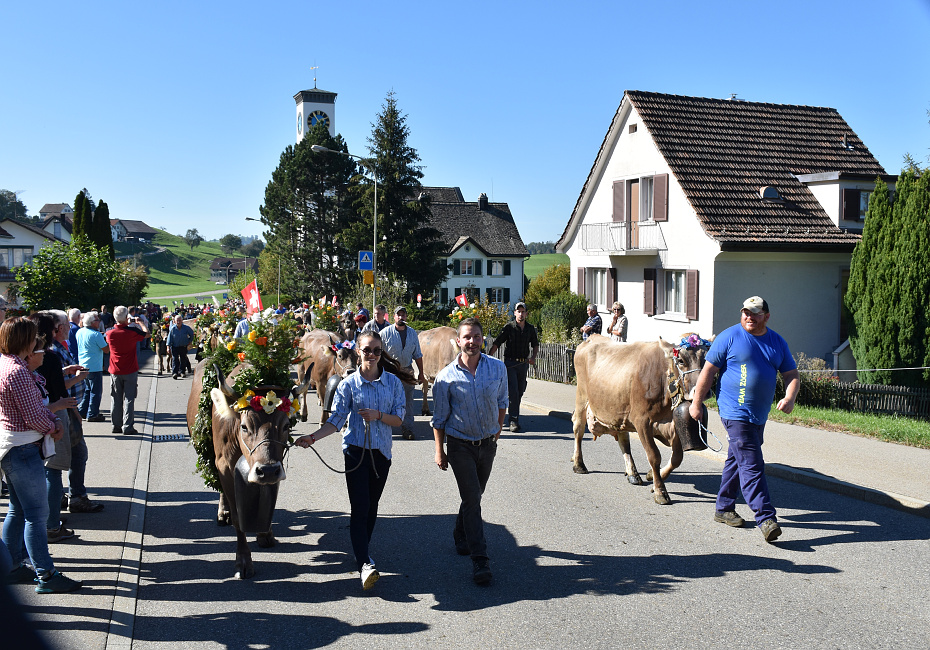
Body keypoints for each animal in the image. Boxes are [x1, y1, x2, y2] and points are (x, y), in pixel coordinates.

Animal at [564, 332, 712, 504]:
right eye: (681, 360)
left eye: (707, 359)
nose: (703, 391)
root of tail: (592, 337)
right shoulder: (642, 421)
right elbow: (654, 456)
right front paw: (660, 491)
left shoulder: (673, 424)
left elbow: (677, 458)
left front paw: (653, 476)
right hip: (582, 396)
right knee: (578, 429)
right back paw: (578, 464)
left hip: (619, 410)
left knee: (623, 438)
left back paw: (633, 473)